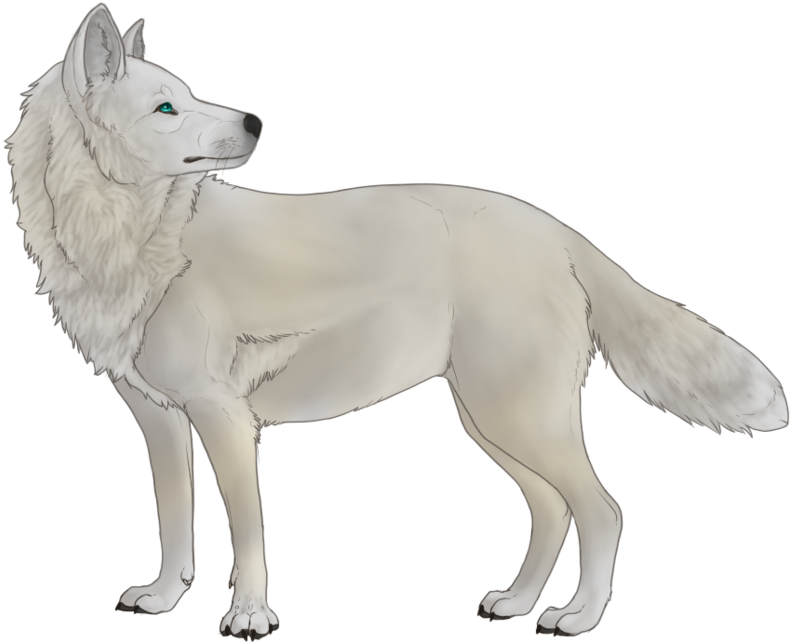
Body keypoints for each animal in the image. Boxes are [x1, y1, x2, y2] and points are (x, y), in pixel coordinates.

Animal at [6, 2, 788, 640]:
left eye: (190, 93)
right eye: (167, 107)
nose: (256, 121)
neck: (140, 239)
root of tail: (554, 227)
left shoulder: (225, 418)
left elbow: (248, 530)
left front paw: (250, 617)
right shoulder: (160, 420)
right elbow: (175, 523)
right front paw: (165, 598)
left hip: (517, 418)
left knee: (602, 511)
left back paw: (576, 618)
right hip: (491, 422)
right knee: (552, 509)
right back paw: (515, 605)